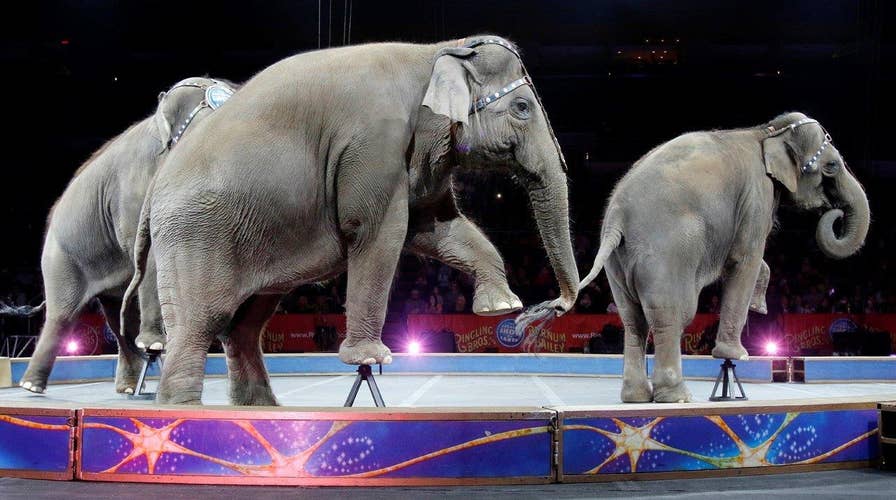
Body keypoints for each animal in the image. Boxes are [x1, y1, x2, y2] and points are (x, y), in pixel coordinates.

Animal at [13, 77, 236, 394]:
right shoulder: (132, 188)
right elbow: (148, 250)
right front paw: (156, 345)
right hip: (60, 255)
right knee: (63, 314)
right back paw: (32, 386)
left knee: (116, 316)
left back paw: (130, 386)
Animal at [121, 35, 579, 405]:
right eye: (522, 107)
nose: (547, 308)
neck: (438, 50)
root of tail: (157, 183)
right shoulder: (374, 145)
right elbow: (380, 233)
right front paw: (371, 358)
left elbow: (439, 228)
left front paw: (499, 306)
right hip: (193, 233)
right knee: (200, 322)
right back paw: (181, 409)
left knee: (244, 325)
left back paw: (259, 407)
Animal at [577, 112, 869, 403]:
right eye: (831, 165)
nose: (835, 213)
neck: (765, 131)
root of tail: (617, 217)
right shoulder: (756, 195)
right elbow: (746, 257)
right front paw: (736, 354)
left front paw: (759, 306)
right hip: (667, 253)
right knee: (671, 315)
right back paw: (677, 397)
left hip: (618, 262)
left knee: (633, 320)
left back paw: (635, 397)